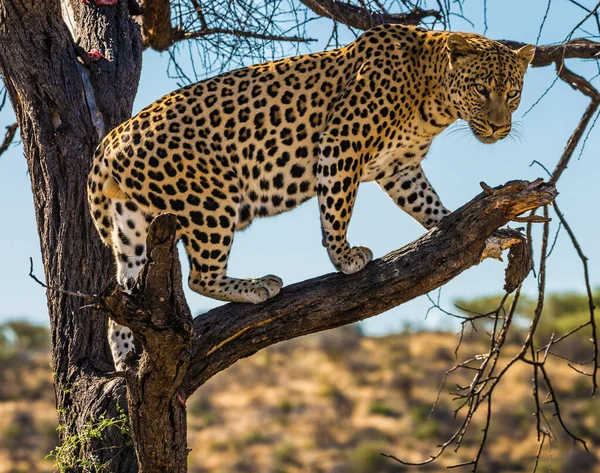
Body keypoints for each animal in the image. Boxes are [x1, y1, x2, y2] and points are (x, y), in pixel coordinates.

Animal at [86, 23, 532, 366]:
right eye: (482, 89)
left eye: (513, 93)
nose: (499, 127)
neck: (433, 98)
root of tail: (109, 140)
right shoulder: (342, 141)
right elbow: (337, 206)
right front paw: (344, 258)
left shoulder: (400, 168)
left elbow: (430, 206)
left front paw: (482, 234)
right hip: (211, 199)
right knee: (200, 276)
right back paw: (255, 286)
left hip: (133, 227)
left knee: (123, 291)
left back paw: (124, 357)